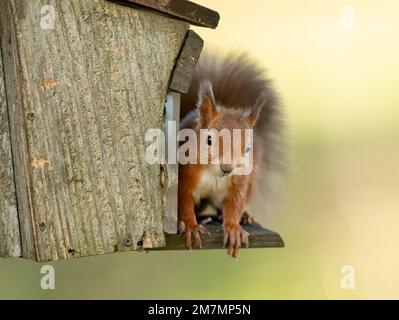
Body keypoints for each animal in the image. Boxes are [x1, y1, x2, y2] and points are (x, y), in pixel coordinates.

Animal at [178, 53, 284, 258]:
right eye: (209, 140)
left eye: (248, 148)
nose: (227, 168)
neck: (213, 174)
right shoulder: (184, 177)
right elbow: (183, 201)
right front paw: (190, 226)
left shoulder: (239, 182)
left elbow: (233, 204)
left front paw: (234, 228)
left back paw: (245, 217)